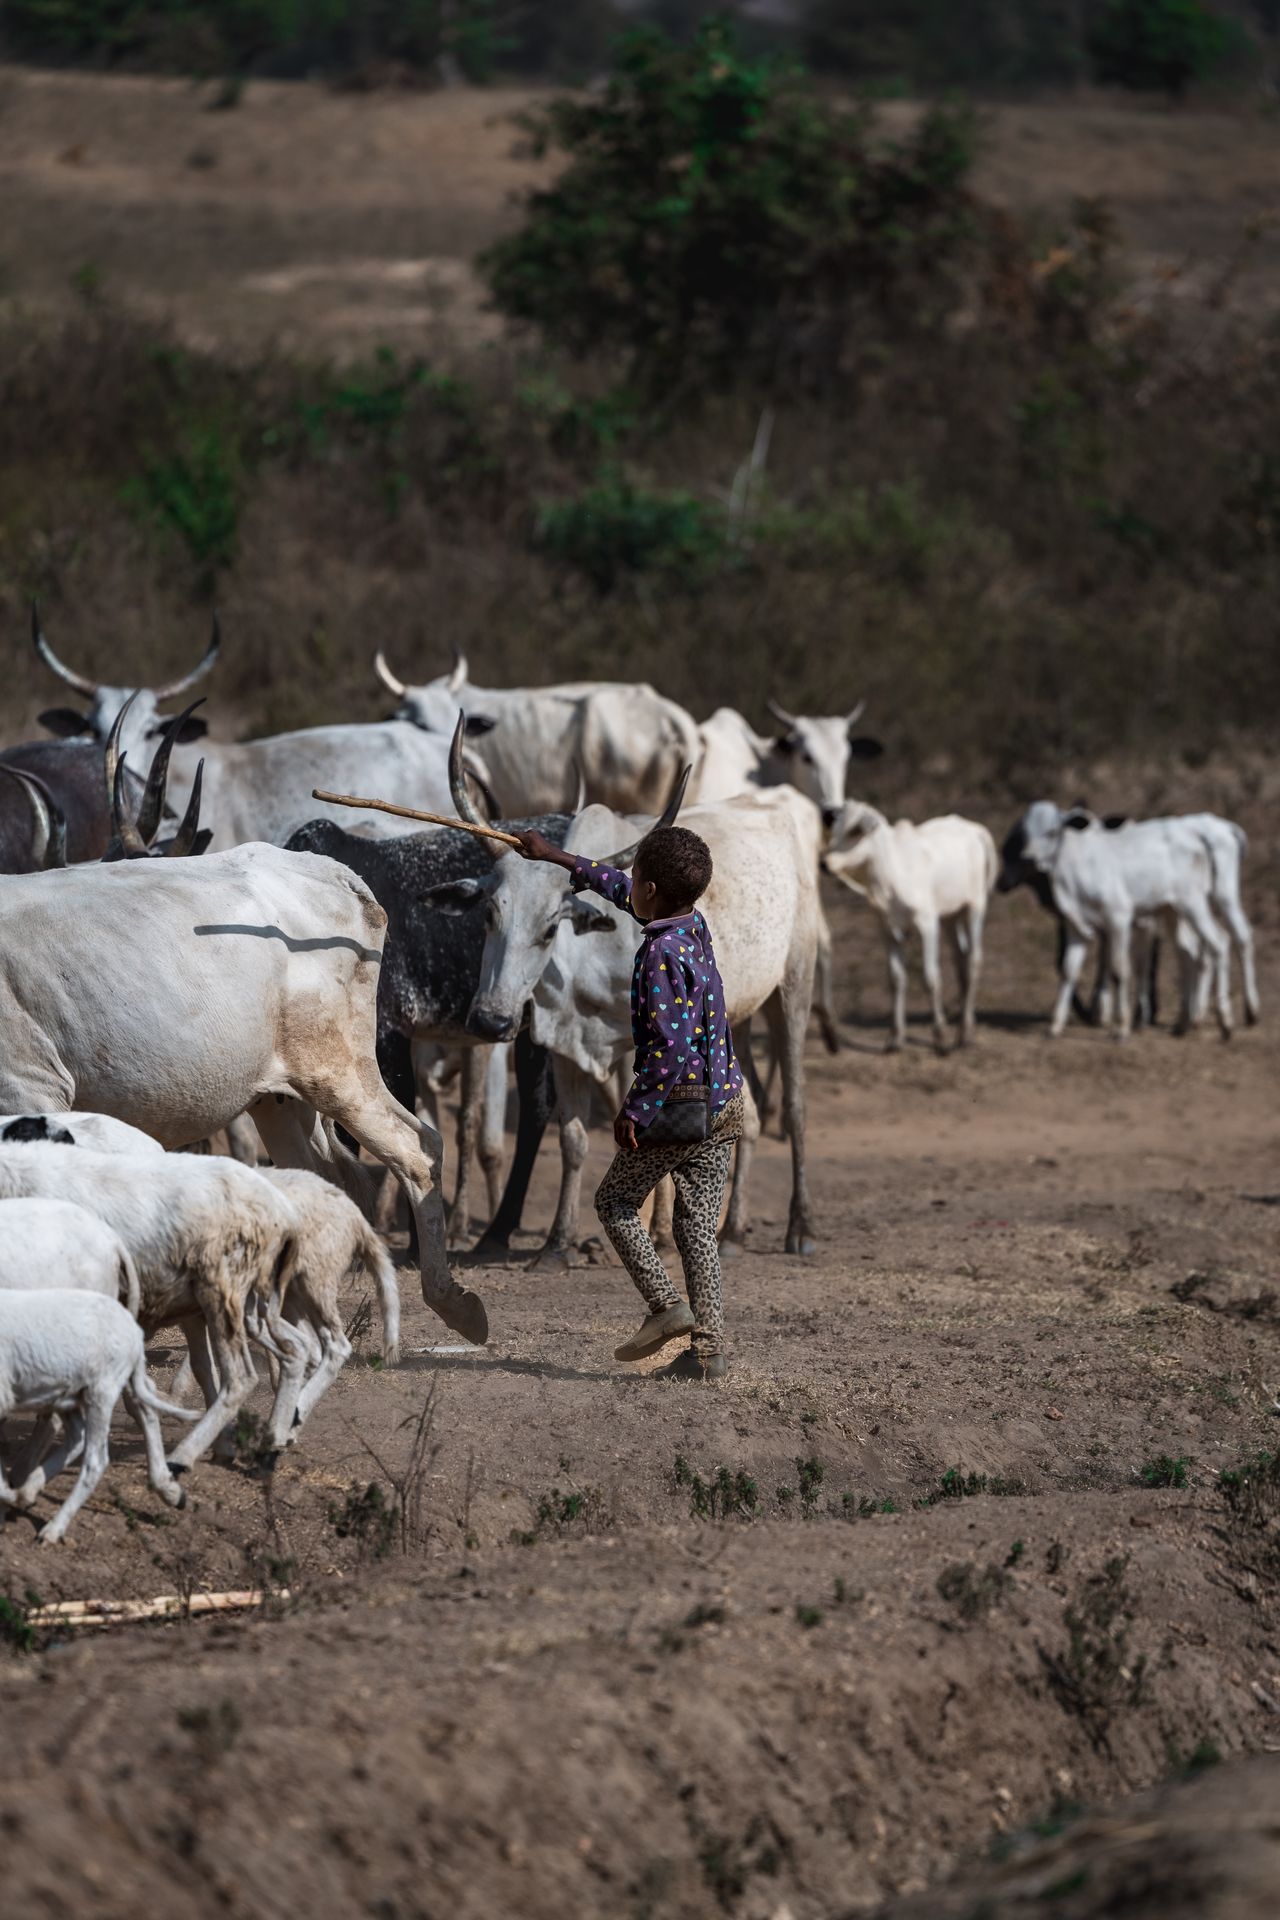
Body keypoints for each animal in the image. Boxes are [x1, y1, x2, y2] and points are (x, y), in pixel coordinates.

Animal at [0, 844, 488, 1344]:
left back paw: (453, 1303)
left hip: (338, 1069)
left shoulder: (32, 1088)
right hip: (280, 1100)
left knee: (417, 1149)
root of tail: (335, 870)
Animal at [428, 763, 822, 1262]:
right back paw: (732, 1230)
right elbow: (573, 1139)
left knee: (795, 1105)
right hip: (739, 1017)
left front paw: (660, 1234)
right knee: (746, 1113)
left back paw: (800, 1227)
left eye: (550, 927)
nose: (490, 1020)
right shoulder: (564, 1040)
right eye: (488, 915)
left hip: (793, 987)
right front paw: (558, 1243)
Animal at [823, 803, 997, 1053]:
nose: (825, 863)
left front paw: (939, 1035)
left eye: (854, 831)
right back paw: (964, 1029)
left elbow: (930, 978)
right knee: (960, 959)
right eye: (834, 829)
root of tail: (975, 830)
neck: (890, 875)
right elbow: (896, 979)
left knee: (973, 960)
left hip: (975, 907)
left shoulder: (928, 924)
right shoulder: (887, 929)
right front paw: (895, 1038)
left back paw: (964, 1032)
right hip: (950, 916)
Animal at [998, 803, 1233, 1041]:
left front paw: (1121, 1028)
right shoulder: (1076, 928)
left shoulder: (1118, 920)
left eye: (1051, 832)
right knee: (1187, 953)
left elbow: (1118, 971)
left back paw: (1224, 1022)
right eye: (1025, 833)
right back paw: (1183, 1023)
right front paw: (1055, 1026)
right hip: (1172, 911)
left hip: (1193, 904)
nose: (1028, 858)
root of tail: (1199, 840)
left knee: (1219, 942)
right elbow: (1068, 971)